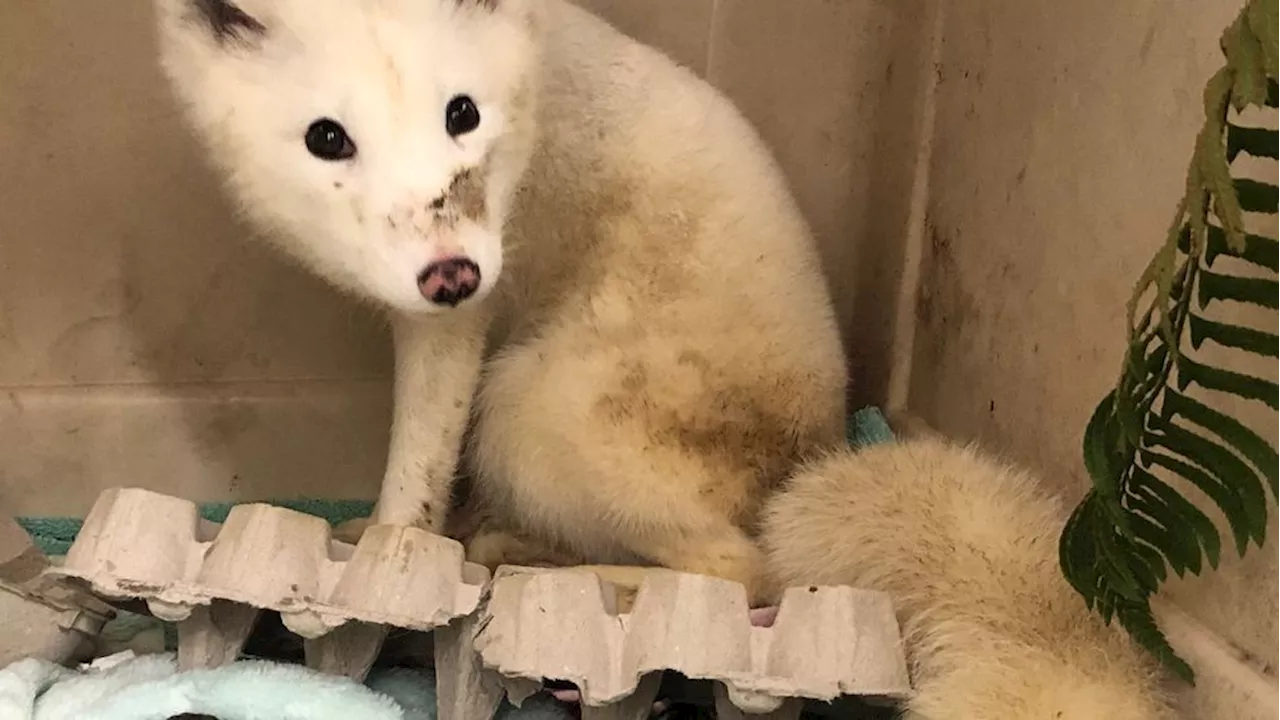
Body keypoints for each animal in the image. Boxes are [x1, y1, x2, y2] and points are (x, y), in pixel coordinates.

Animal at [152, 0, 849, 599]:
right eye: (326, 139)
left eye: (463, 114)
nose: (453, 277)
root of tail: (820, 444)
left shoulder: (453, 329)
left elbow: (415, 471)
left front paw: (383, 561)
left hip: (525, 412)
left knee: (745, 572)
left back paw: (543, 568)